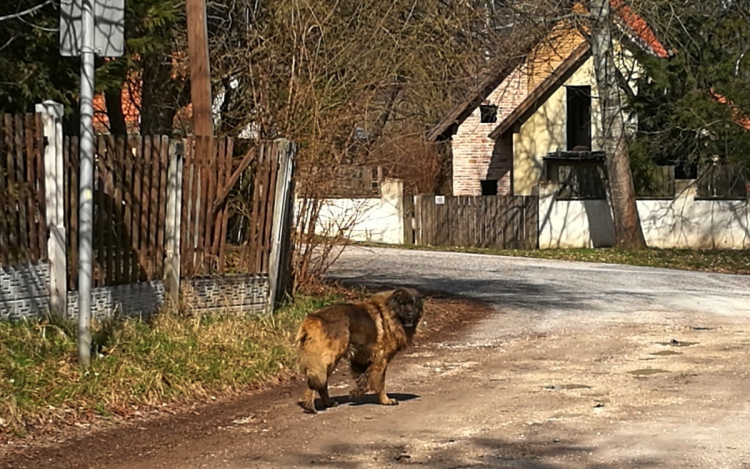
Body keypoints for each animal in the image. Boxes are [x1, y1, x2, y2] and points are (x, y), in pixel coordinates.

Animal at [296, 286, 424, 414]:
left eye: (414, 304)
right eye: (402, 304)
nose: (411, 315)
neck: (390, 314)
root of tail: (313, 319)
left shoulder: (360, 358)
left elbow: (364, 380)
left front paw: (356, 392)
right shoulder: (381, 360)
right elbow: (379, 382)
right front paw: (385, 400)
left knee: (320, 382)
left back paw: (325, 403)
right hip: (330, 358)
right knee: (318, 383)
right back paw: (310, 405)